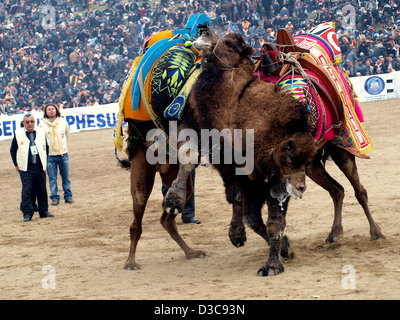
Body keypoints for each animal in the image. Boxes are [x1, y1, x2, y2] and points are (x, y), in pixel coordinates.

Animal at [164, 31, 318, 276]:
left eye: (229, 44)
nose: (204, 31)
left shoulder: (273, 174)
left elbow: (272, 222)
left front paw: (272, 265)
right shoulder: (223, 157)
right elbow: (190, 158)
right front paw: (173, 200)